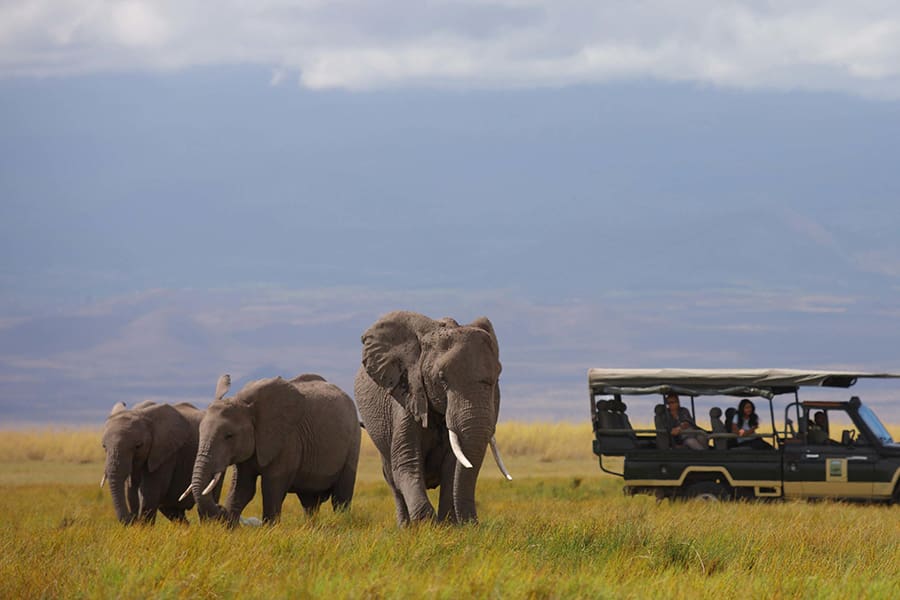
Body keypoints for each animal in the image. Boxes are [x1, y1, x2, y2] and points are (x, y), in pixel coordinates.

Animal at [191, 372, 362, 524]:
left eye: (229, 436)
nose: (220, 508)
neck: (245, 404)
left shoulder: (287, 441)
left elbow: (272, 488)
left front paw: (269, 529)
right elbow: (242, 488)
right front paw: (229, 528)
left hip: (353, 440)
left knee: (341, 497)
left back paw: (342, 522)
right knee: (309, 501)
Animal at [356, 310, 510, 524]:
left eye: (497, 378)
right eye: (441, 379)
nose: (474, 523)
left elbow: (452, 468)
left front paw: (448, 525)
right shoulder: (407, 395)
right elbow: (407, 463)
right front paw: (427, 524)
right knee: (392, 479)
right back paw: (405, 526)